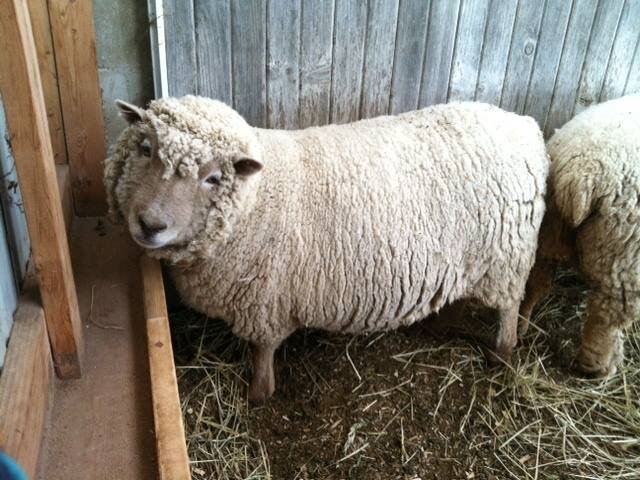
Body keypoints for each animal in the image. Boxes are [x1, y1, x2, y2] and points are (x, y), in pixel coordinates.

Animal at [102, 95, 548, 404]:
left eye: (213, 177)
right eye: (145, 149)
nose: (150, 225)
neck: (258, 197)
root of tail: (525, 125)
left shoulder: (265, 300)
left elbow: (263, 350)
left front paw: (259, 393)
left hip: (506, 258)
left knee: (509, 307)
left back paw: (502, 354)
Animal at [520, 94, 640, 376]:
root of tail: (584, 177)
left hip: (550, 231)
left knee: (537, 281)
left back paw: (521, 327)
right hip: (623, 260)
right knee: (605, 319)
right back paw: (600, 367)